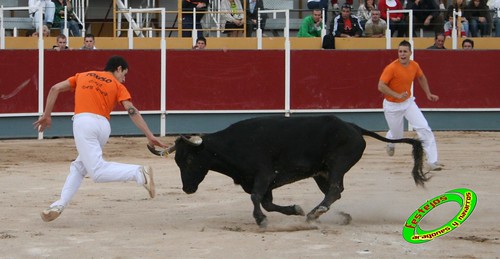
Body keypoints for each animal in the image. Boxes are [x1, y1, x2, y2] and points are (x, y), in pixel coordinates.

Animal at [149, 116, 430, 228]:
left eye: (188, 160)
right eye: (177, 161)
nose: (187, 189)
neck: (234, 146)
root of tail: (353, 126)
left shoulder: (263, 175)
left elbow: (257, 199)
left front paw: (261, 220)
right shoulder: (264, 183)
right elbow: (267, 202)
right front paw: (295, 209)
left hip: (337, 163)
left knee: (335, 189)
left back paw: (315, 214)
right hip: (321, 172)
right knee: (335, 191)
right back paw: (332, 214)